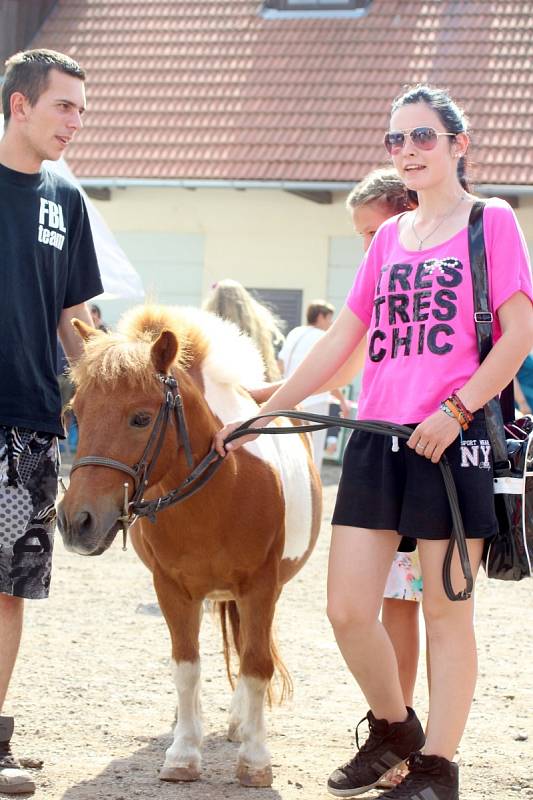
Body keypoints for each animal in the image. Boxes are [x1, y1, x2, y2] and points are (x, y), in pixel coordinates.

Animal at [57, 306, 320, 788]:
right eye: (76, 413)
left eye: (141, 418)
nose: (75, 522)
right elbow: (186, 666)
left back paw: (240, 723)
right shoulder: (173, 590)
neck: (221, 487)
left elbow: (256, 664)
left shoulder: (261, 588)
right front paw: (183, 753)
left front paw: (255, 758)